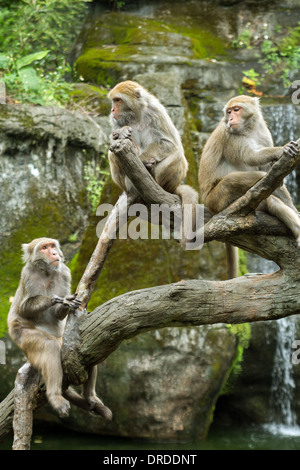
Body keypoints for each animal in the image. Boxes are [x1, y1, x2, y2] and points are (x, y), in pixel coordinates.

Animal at [7, 239, 111, 418]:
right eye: (44, 247)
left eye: (52, 246)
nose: (54, 253)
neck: (46, 272)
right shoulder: (27, 274)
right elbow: (24, 308)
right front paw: (56, 299)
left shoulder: (64, 272)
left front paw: (66, 303)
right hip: (21, 335)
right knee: (49, 346)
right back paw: (55, 396)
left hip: (63, 339)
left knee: (88, 345)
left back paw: (90, 396)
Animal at [108, 80, 199, 246]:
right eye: (113, 100)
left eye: (118, 100)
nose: (112, 109)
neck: (136, 115)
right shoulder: (116, 120)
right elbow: (114, 140)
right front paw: (122, 133)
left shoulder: (157, 111)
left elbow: (170, 143)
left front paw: (143, 159)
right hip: (126, 183)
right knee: (112, 154)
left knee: (177, 156)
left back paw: (153, 176)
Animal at [199, 97, 300, 278]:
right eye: (229, 112)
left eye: (236, 109)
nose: (230, 119)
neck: (250, 128)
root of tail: (209, 206)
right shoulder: (231, 135)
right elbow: (250, 157)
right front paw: (281, 150)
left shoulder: (264, 133)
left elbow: (271, 170)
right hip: (218, 199)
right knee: (236, 180)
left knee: (270, 198)